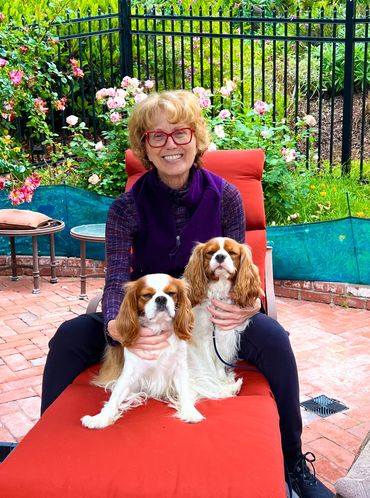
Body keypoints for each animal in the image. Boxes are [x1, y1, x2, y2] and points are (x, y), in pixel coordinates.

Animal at [80, 272, 205, 428]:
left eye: (171, 293)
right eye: (147, 295)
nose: (161, 298)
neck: (158, 328)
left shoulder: (179, 368)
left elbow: (185, 391)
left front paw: (190, 412)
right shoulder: (129, 373)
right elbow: (115, 397)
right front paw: (100, 418)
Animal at [184, 236, 262, 400]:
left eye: (232, 253)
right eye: (210, 252)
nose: (220, 256)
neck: (219, 288)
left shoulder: (223, 336)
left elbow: (219, 363)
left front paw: (221, 378)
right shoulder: (203, 340)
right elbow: (209, 366)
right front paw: (218, 382)